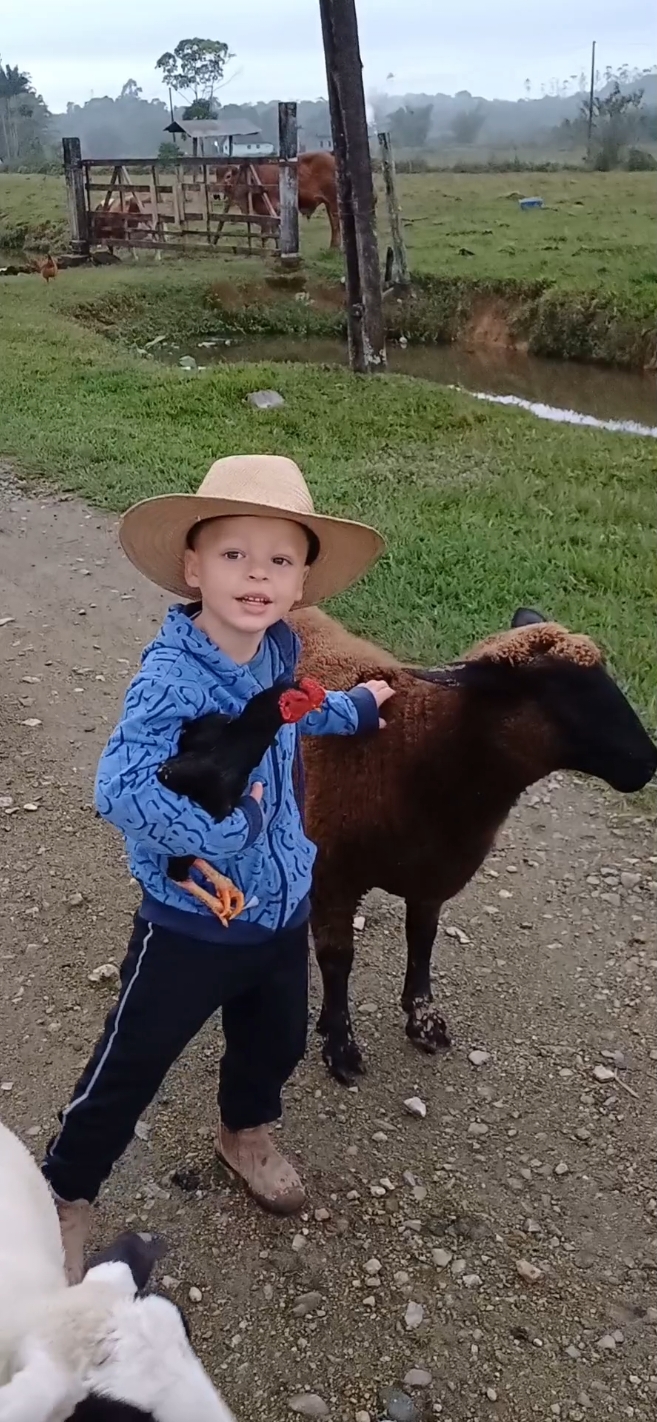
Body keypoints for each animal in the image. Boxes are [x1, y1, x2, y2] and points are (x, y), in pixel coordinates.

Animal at [294, 605, 657, 1080]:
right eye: (554, 690)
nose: (648, 764)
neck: (405, 750)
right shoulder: (332, 875)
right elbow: (338, 960)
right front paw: (340, 1046)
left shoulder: (434, 872)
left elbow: (422, 940)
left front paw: (423, 1023)